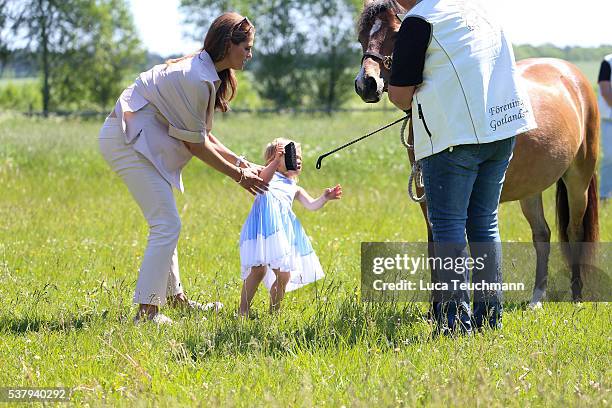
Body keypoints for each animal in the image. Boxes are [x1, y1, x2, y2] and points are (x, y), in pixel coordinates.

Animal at [356, 0, 600, 306]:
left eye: (397, 34)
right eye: (361, 37)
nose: (366, 84)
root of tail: (573, 76)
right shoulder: (430, 200)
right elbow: (435, 250)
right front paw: (435, 308)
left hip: (578, 180)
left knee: (574, 231)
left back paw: (577, 295)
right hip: (531, 189)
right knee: (542, 234)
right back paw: (536, 298)